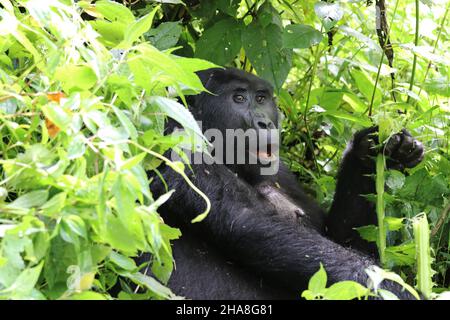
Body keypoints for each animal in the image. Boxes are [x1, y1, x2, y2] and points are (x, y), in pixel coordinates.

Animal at [139, 67, 424, 300]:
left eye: (261, 99)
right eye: (238, 98)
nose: (265, 122)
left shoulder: (283, 173)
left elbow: (346, 238)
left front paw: (368, 151)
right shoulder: (171, 138)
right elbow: (251, 222)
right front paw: (398, 290)